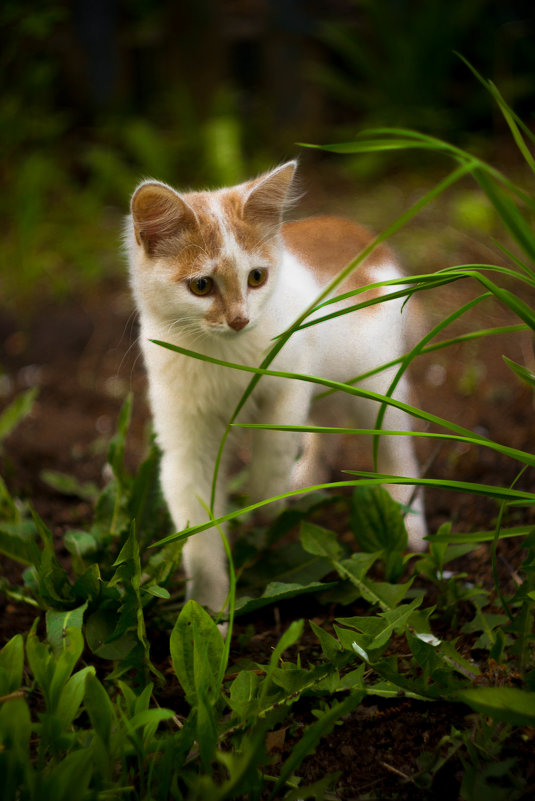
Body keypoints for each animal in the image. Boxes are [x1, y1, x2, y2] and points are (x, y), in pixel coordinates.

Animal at [125, 159, 428, 616]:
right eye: (201, 285)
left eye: (256, 277)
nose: (239, 320)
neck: (223, 354)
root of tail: (363, 235)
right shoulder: (184, 438)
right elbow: (198, 531)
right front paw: (210, 607)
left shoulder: (294, 373)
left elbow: (276, 440)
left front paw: (267, 497)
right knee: (326, 426)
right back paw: (307, 481)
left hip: (376, 383)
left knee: (396, 450)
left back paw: (409, 525)